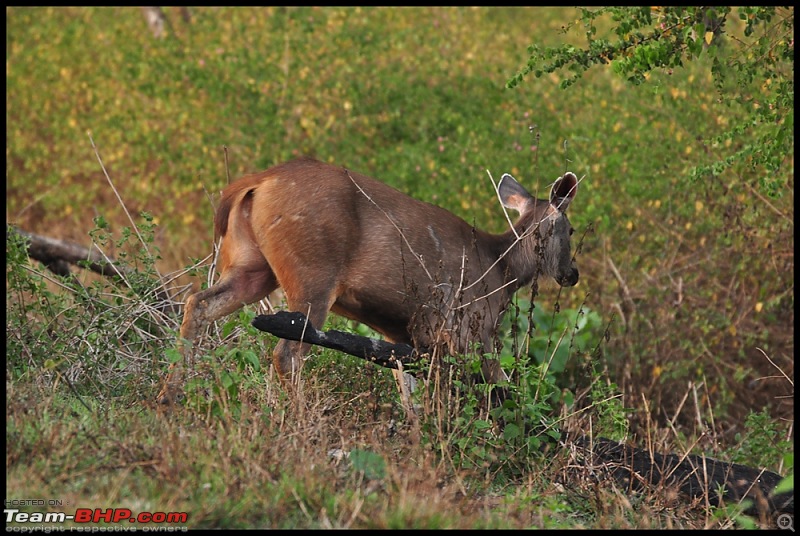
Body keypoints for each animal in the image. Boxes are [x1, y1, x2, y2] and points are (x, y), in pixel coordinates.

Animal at [158, 157, 580, 404]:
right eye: (571, 230)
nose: (571, 273)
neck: (502, 271)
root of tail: (256, 182)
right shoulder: (469, 327)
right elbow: (501, 386)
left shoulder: (410, 333)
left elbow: (409, 389)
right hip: (313, 274)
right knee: (287, 351)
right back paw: (301, 420)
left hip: (252, 268)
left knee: (198, 303)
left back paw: (170, 396)